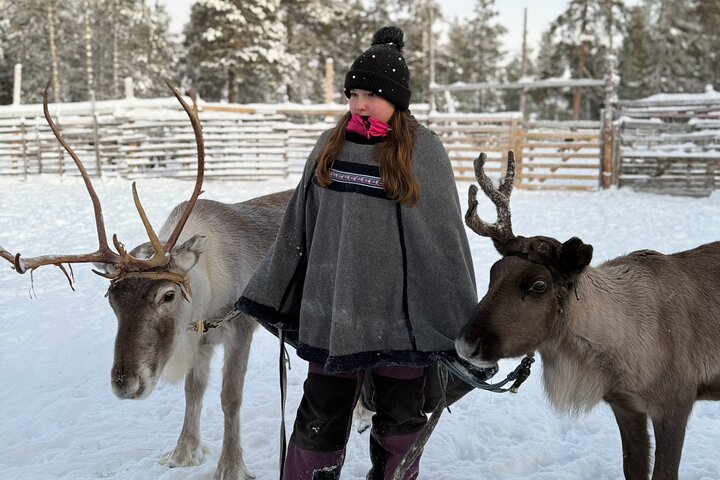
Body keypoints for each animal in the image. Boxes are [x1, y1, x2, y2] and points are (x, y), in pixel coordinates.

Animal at [0, 85, 292, 480]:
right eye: (112, 299)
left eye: (167, 294)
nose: (126, 384)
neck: (207, 294)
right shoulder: (201, 339)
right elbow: (193, 390)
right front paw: (182, 453)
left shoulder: (240, 328)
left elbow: (230, 398)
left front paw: (230, 467)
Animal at [454, 152, 720, 480]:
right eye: (494, 272)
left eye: (538, 285)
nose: (466, 343)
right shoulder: (626, 406)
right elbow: (632, 468)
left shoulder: (675, 403)